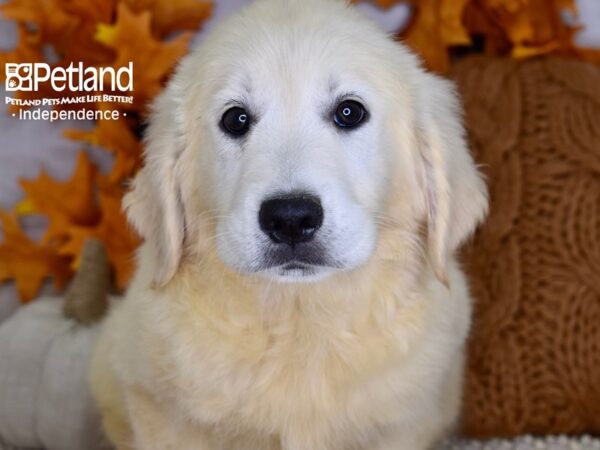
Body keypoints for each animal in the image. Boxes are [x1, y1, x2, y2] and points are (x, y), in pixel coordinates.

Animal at [91, 0, 490, 448]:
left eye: (349, 112)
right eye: (235, 119)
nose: (291, 218)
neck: (300, 317)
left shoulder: (401, 426)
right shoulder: (165, 416)